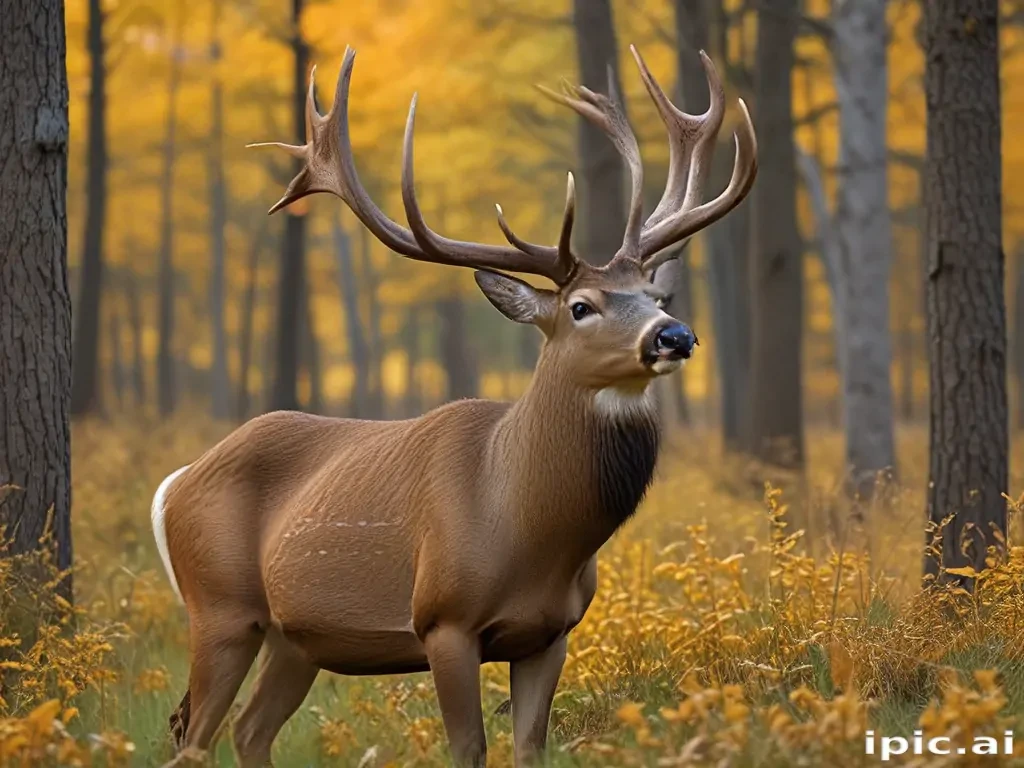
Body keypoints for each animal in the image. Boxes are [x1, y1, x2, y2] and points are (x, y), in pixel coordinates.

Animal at [151, 43, 756, 767]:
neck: (527, 526)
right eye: (582, 307)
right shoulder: (443, 619)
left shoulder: (551, 633)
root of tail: (175, 482)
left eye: (655, 296)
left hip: (297, 636)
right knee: (193, 736)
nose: (675, 335)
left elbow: (530, 749)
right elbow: (468, 748)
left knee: (247, 728)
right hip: (220, 605)